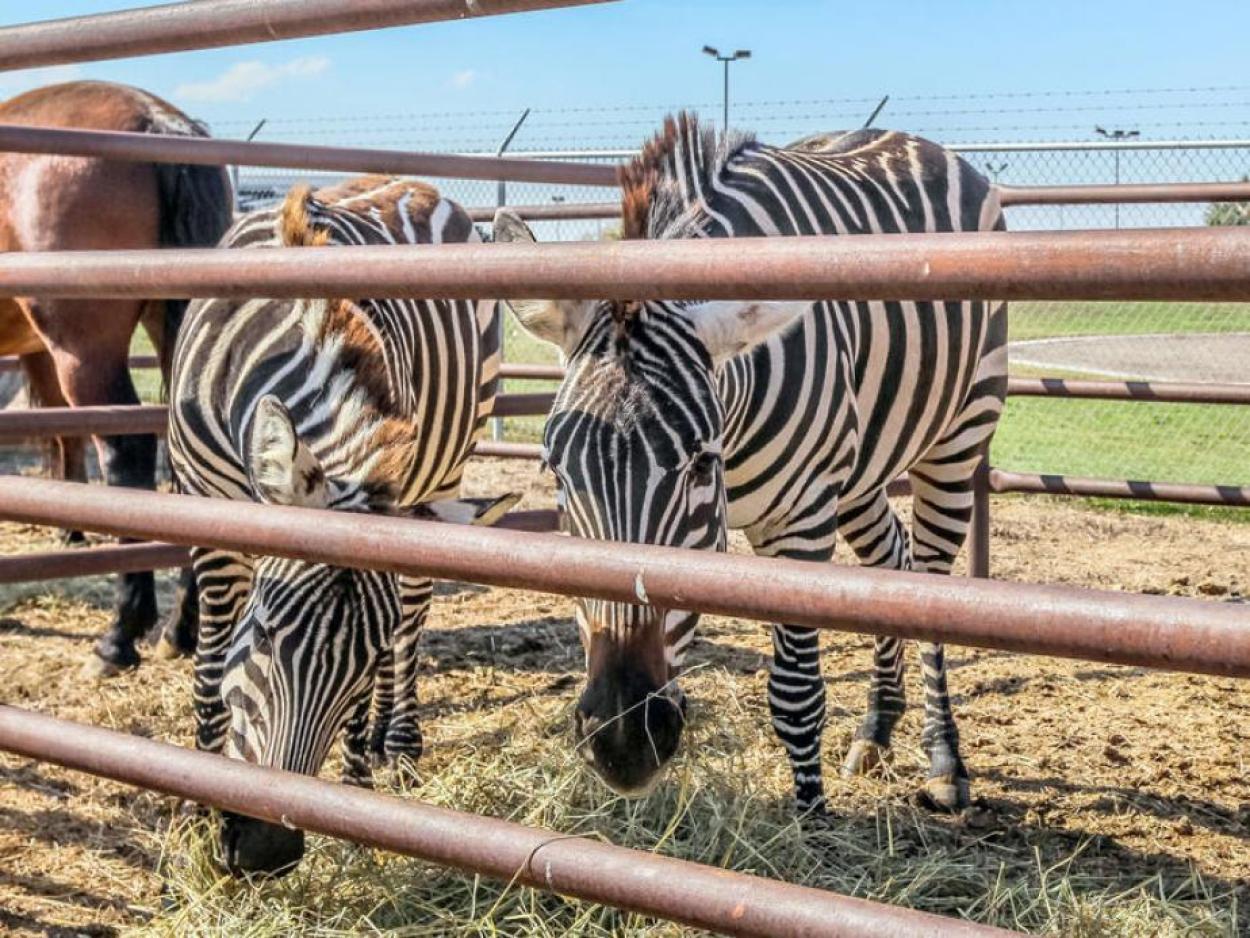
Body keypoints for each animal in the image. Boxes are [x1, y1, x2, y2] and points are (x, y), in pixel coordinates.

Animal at [0, 82, 233, 675]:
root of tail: (157, 122)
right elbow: (63, 431)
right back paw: (182, 629)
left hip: (84, 347)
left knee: (126, 451)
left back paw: (119, 636)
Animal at [167, 177, 517, 880]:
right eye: (263, 635)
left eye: (365, 659)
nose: (268, 850)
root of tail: (417, 184)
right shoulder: (208, 520)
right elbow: (213, 665)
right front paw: (195, 804)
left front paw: (356, 806)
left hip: (445, 467)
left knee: (414, 610)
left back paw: (398, 742)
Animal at [492, 115, 1010, 815]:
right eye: (558, 473)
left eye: (699, 466)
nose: (623, 744)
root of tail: (906, 138)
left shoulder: (801, 521)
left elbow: (795, 694)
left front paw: (813, 820)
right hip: (859, 471)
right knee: (891, 565)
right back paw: (876, 730)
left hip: (959, 432)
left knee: (928, 584)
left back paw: (944, 761)